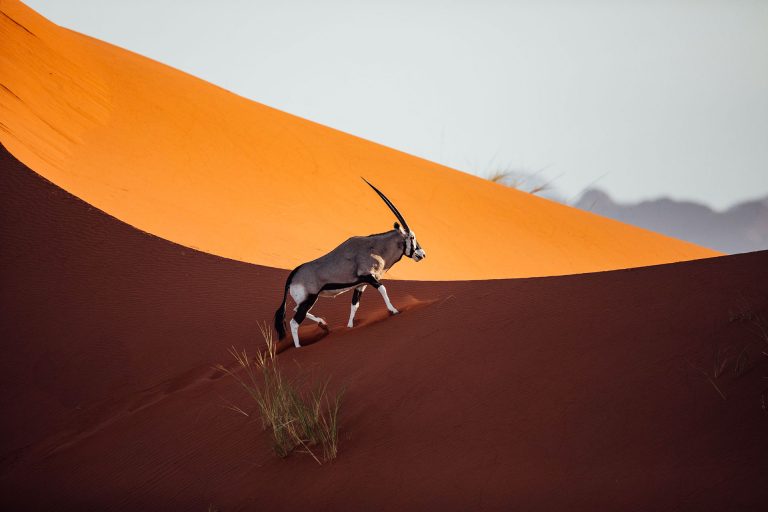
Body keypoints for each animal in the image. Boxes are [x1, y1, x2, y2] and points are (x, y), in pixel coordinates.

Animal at [274, 179, 426, 348]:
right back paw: (299, 346)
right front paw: (393, 310)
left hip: (306, 300)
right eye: (412, 237)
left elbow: (355, 305)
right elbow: (383, 289)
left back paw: (323, 324)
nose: (422, 254)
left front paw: (350, 327)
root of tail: (293, 275)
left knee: (296, 310)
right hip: (310, 298)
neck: (375, 247)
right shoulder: (369, 276)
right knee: (294, 322)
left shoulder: (361, 284)